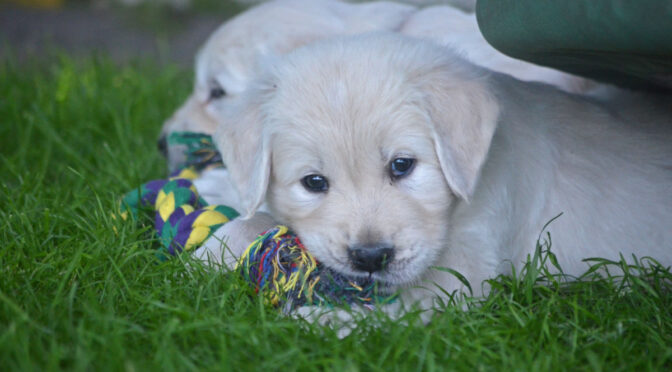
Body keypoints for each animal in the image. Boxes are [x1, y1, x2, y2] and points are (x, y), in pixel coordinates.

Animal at [214, 33, 672, 316]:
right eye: (313, 183)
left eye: (402, 165)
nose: (370, 257)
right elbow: (247, 222)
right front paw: (215, 246)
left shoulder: (469, 265)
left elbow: (403, 308)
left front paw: (329, 322)